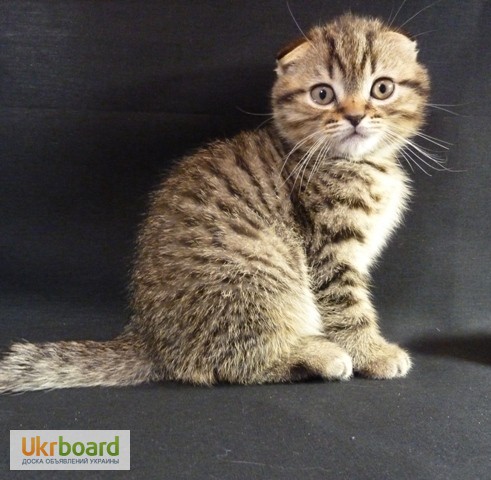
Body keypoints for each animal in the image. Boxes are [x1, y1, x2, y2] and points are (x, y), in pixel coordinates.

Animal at [0, 13, 430, 392]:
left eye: (381, 88)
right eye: (322, 94)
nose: (356, 116)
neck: (356, 163)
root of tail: (148, 339)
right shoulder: (328, 249)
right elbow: (347, 306)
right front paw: (372, 353)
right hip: (257, 276)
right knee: (232, 363)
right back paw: (317, 356)